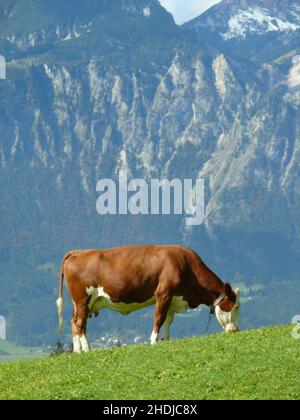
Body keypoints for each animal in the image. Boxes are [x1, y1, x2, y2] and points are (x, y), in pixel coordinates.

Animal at [55, 244, 240, 352]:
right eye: (236, 307)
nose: (236, 330)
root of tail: (77, 252)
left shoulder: (172, 298)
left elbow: (168, 321)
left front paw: (166, 340)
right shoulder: (163, 293)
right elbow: (159, 318)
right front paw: (153, 341)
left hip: (81, 302)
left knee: (75, 322)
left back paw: (77, 351)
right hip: (82, 299)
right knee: (80, 323)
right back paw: (87, 350)